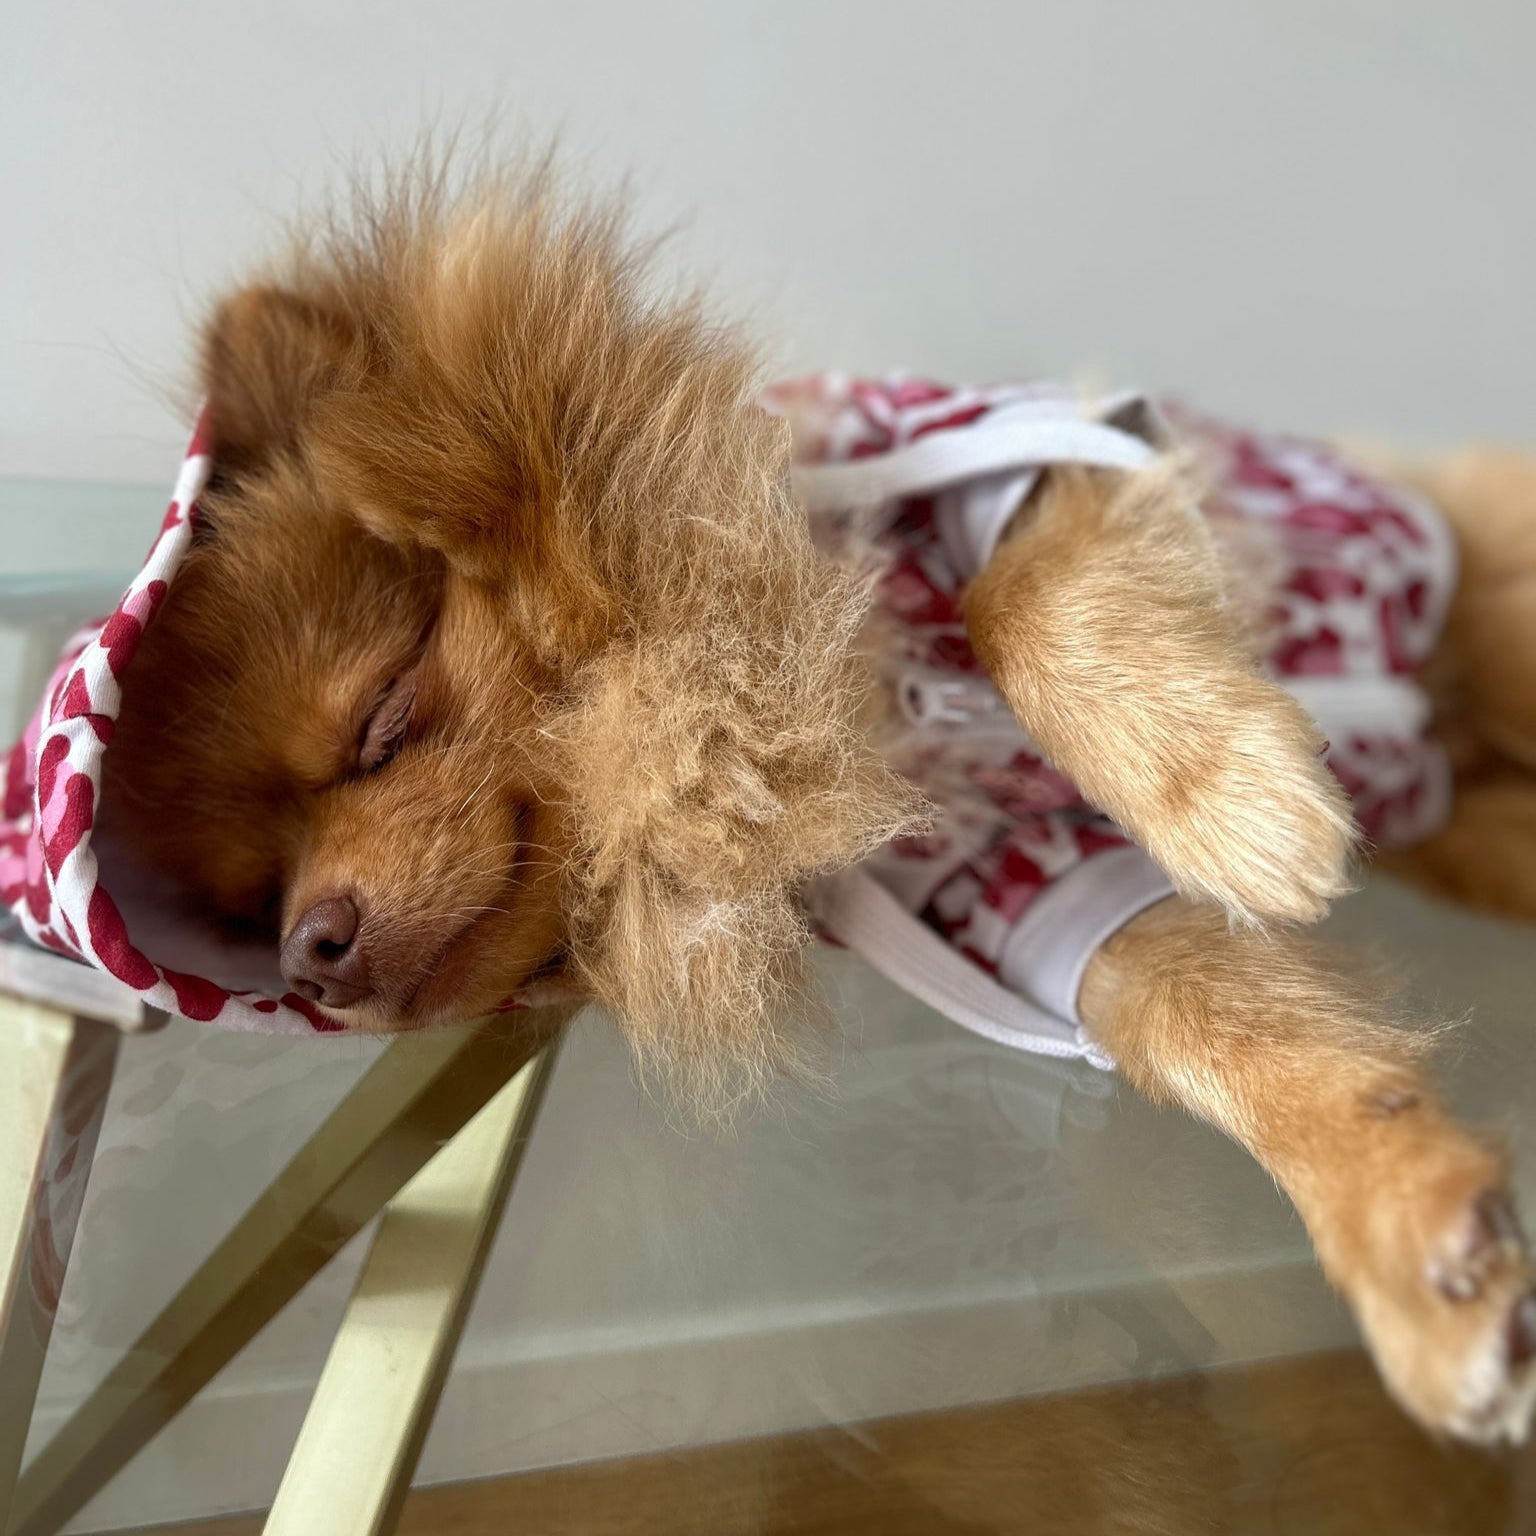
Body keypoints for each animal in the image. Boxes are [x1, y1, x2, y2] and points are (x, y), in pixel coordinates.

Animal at [96, 165, 1536, 1437]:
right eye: (255, 902)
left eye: (383, 719)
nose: (309, 951)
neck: (848, 703)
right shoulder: (1027, 898)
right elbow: (1239, 1040)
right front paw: (1417, 1248)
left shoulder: (1048, 457)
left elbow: (1008, 601)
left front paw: (1234, 798)